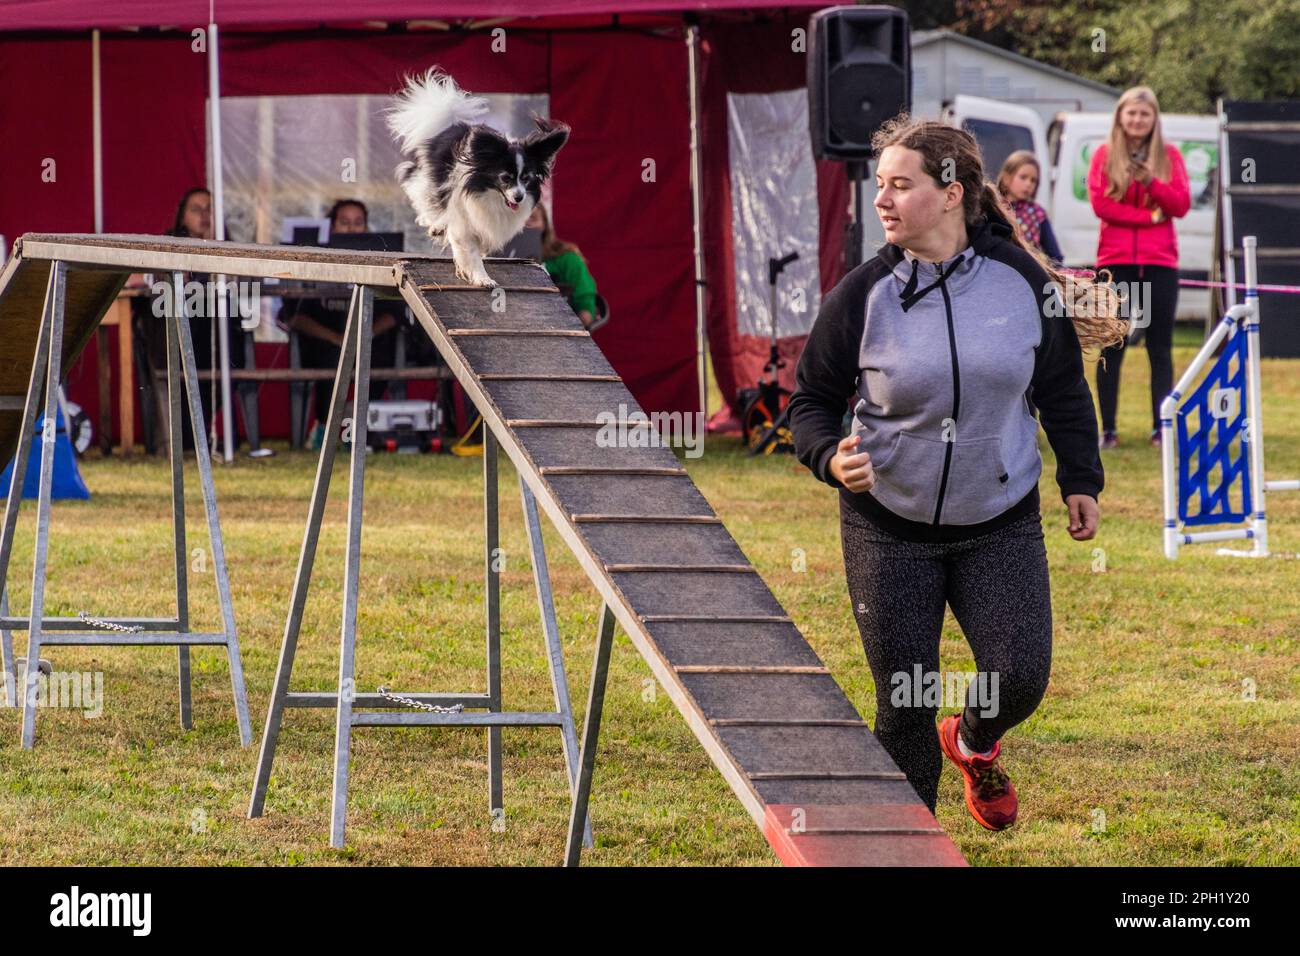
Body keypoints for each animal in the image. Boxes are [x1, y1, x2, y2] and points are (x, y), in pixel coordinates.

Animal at [384, 69, 569, 286]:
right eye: (505, 178)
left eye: (526, 178)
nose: (519, 197)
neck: (490, 197)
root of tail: (452, 125)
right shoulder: (463, 222)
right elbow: (470, 252)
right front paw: (482, 278)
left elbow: (481, 246)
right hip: (428, 181)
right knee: (423, 197)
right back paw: (435, 224)